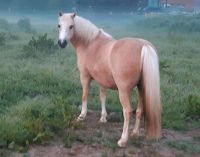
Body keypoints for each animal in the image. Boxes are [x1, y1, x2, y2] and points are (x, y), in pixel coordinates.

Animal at [57, 12, 161, 147]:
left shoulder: (84, 77)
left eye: (71, 26)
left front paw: (82, 116)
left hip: (124, 91)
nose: (62, 42)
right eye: (59, 25)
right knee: (139, 110)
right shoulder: (102, 80)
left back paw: (123, 140)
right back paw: (134, 133)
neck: (89, 43)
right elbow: (102, 97)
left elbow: (85, 96)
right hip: (142, 88)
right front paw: (103, 118)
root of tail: (144, 46)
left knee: (127, 111)